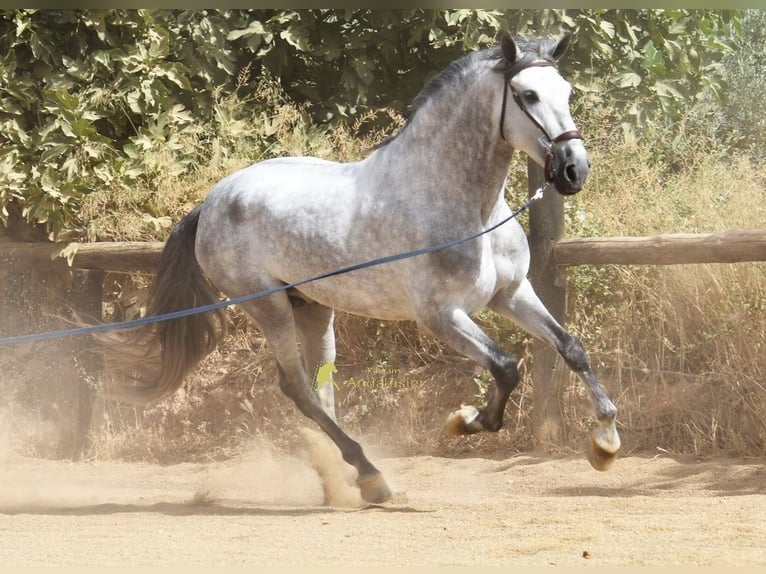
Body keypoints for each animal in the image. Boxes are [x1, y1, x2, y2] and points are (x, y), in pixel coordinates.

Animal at [101, 32, 621, 504]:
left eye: (566, 91)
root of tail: (210, 203)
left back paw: (347, 481)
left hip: (312, 307)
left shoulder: (511, 294)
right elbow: (507, 367)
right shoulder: (440, 316)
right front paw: (467, 422)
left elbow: (571, 348)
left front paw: (606, 442)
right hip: (268, 307)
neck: (464, 205)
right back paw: (370, 475)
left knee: (321, 391)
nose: (574, 170)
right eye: (527, 95)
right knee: (297, 389)